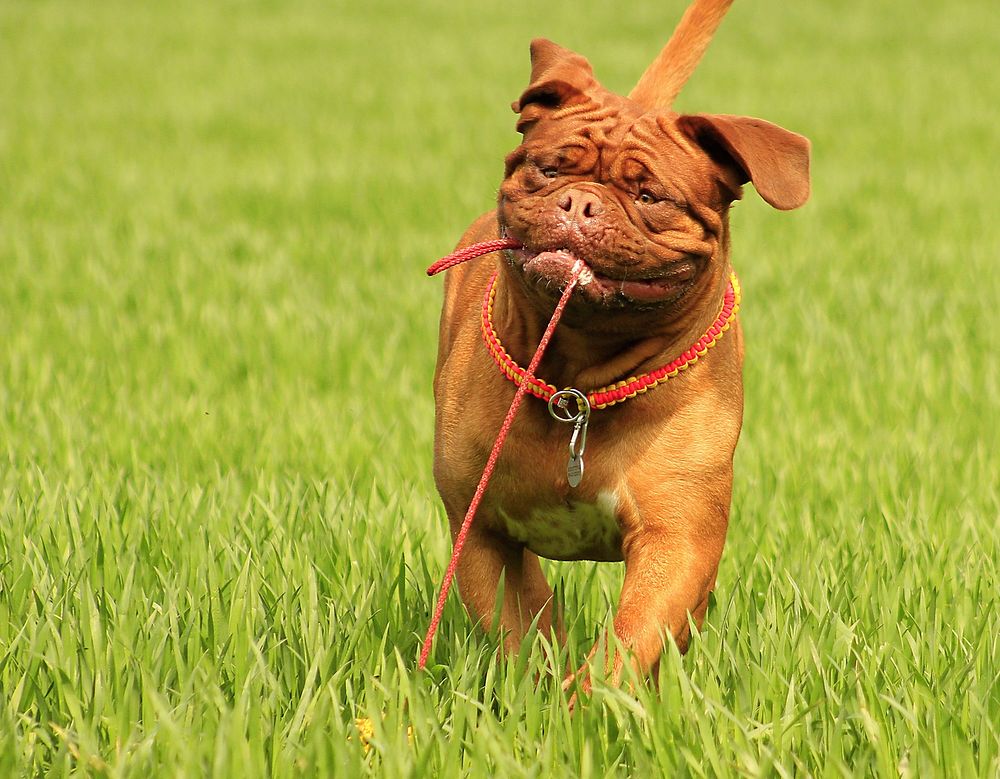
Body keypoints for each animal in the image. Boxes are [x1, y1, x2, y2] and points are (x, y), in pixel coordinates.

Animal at [430, 0, 804, 696]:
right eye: (550, 168)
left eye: (649, 196)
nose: (580, 202)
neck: (578, 377)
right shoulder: (484, 534)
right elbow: (527, 635)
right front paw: (539, 704)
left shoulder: (676, 541)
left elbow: (628, 643)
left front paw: (588, 705)